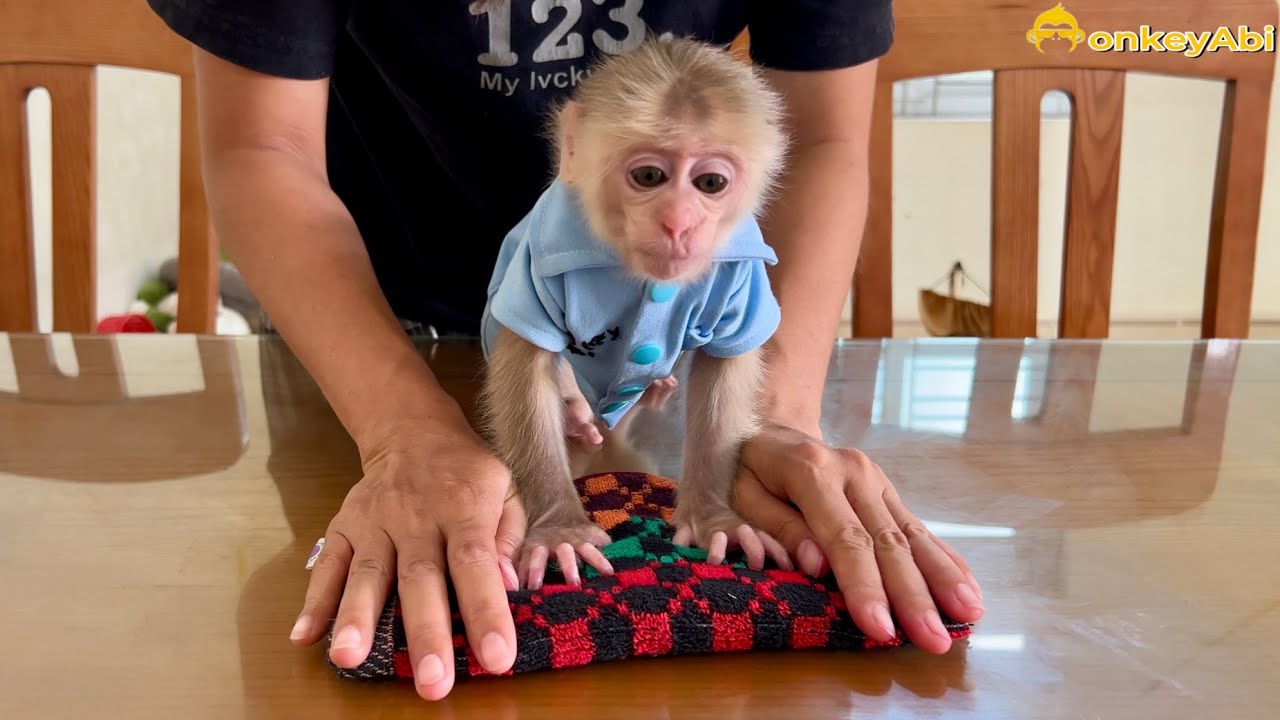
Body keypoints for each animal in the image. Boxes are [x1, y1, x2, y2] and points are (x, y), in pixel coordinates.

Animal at [476, 35, 794, 590]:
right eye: (649, 176)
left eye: (711, 183)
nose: (680, 223)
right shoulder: (541, 259)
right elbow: (527, 369)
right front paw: (558, 526)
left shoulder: (742, 269)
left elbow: (726, 368)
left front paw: (713, 515)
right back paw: (575, 410)